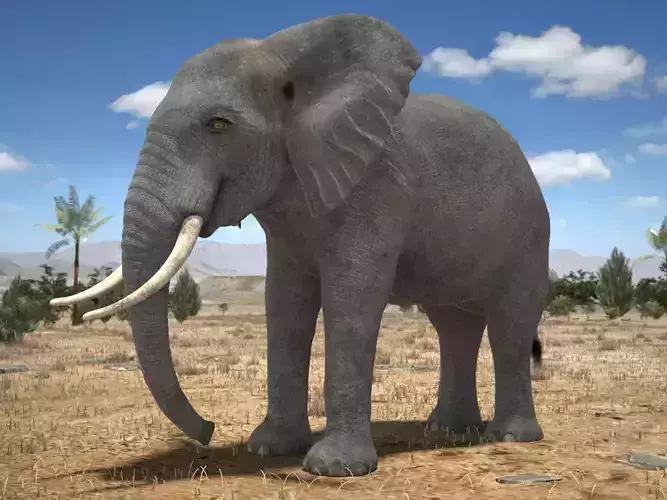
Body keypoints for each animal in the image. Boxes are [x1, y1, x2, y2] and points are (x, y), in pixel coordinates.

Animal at [52, 14, 552, 477]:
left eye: (219, 125)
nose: (208, 431)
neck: (286, 55)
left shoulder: (378, 186)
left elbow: (351, 301)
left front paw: (334, 469)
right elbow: (284, 306)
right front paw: (269, 449)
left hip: (528, 232)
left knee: (509, 322)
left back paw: (509, 437)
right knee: (454, 326)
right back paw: (449, 431)